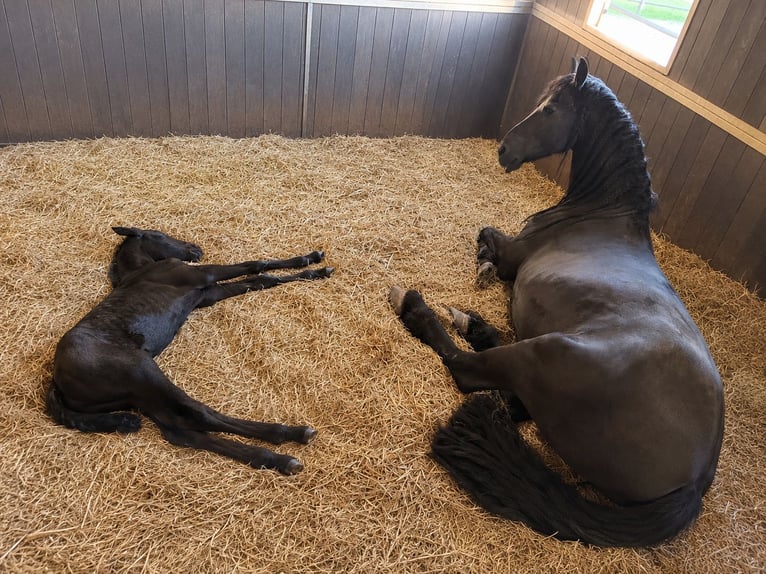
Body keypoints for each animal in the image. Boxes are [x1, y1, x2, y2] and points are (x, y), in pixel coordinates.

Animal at [47, 226, 334, 475]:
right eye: (158, 234)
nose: (195, 249)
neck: (141, 270)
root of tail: (56, 380)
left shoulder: (209, 294)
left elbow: (261, 279)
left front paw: (314, 266)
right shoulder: (203, 276)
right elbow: (255, 265)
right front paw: (313, 261)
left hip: (139, 396)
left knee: (180, 432)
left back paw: (277, 459)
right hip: (142, 372)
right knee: (198, 414)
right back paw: (292, 436)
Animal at [389, 58, 724, 547]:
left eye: (550, 108)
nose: (504, 149)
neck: (601, 213)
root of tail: (695, 482)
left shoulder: (514, 254)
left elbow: (487, 237)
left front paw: (482, 265)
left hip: (548, 350)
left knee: (468, 371)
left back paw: (418, 309)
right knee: (507, 392)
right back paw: (472, 323)